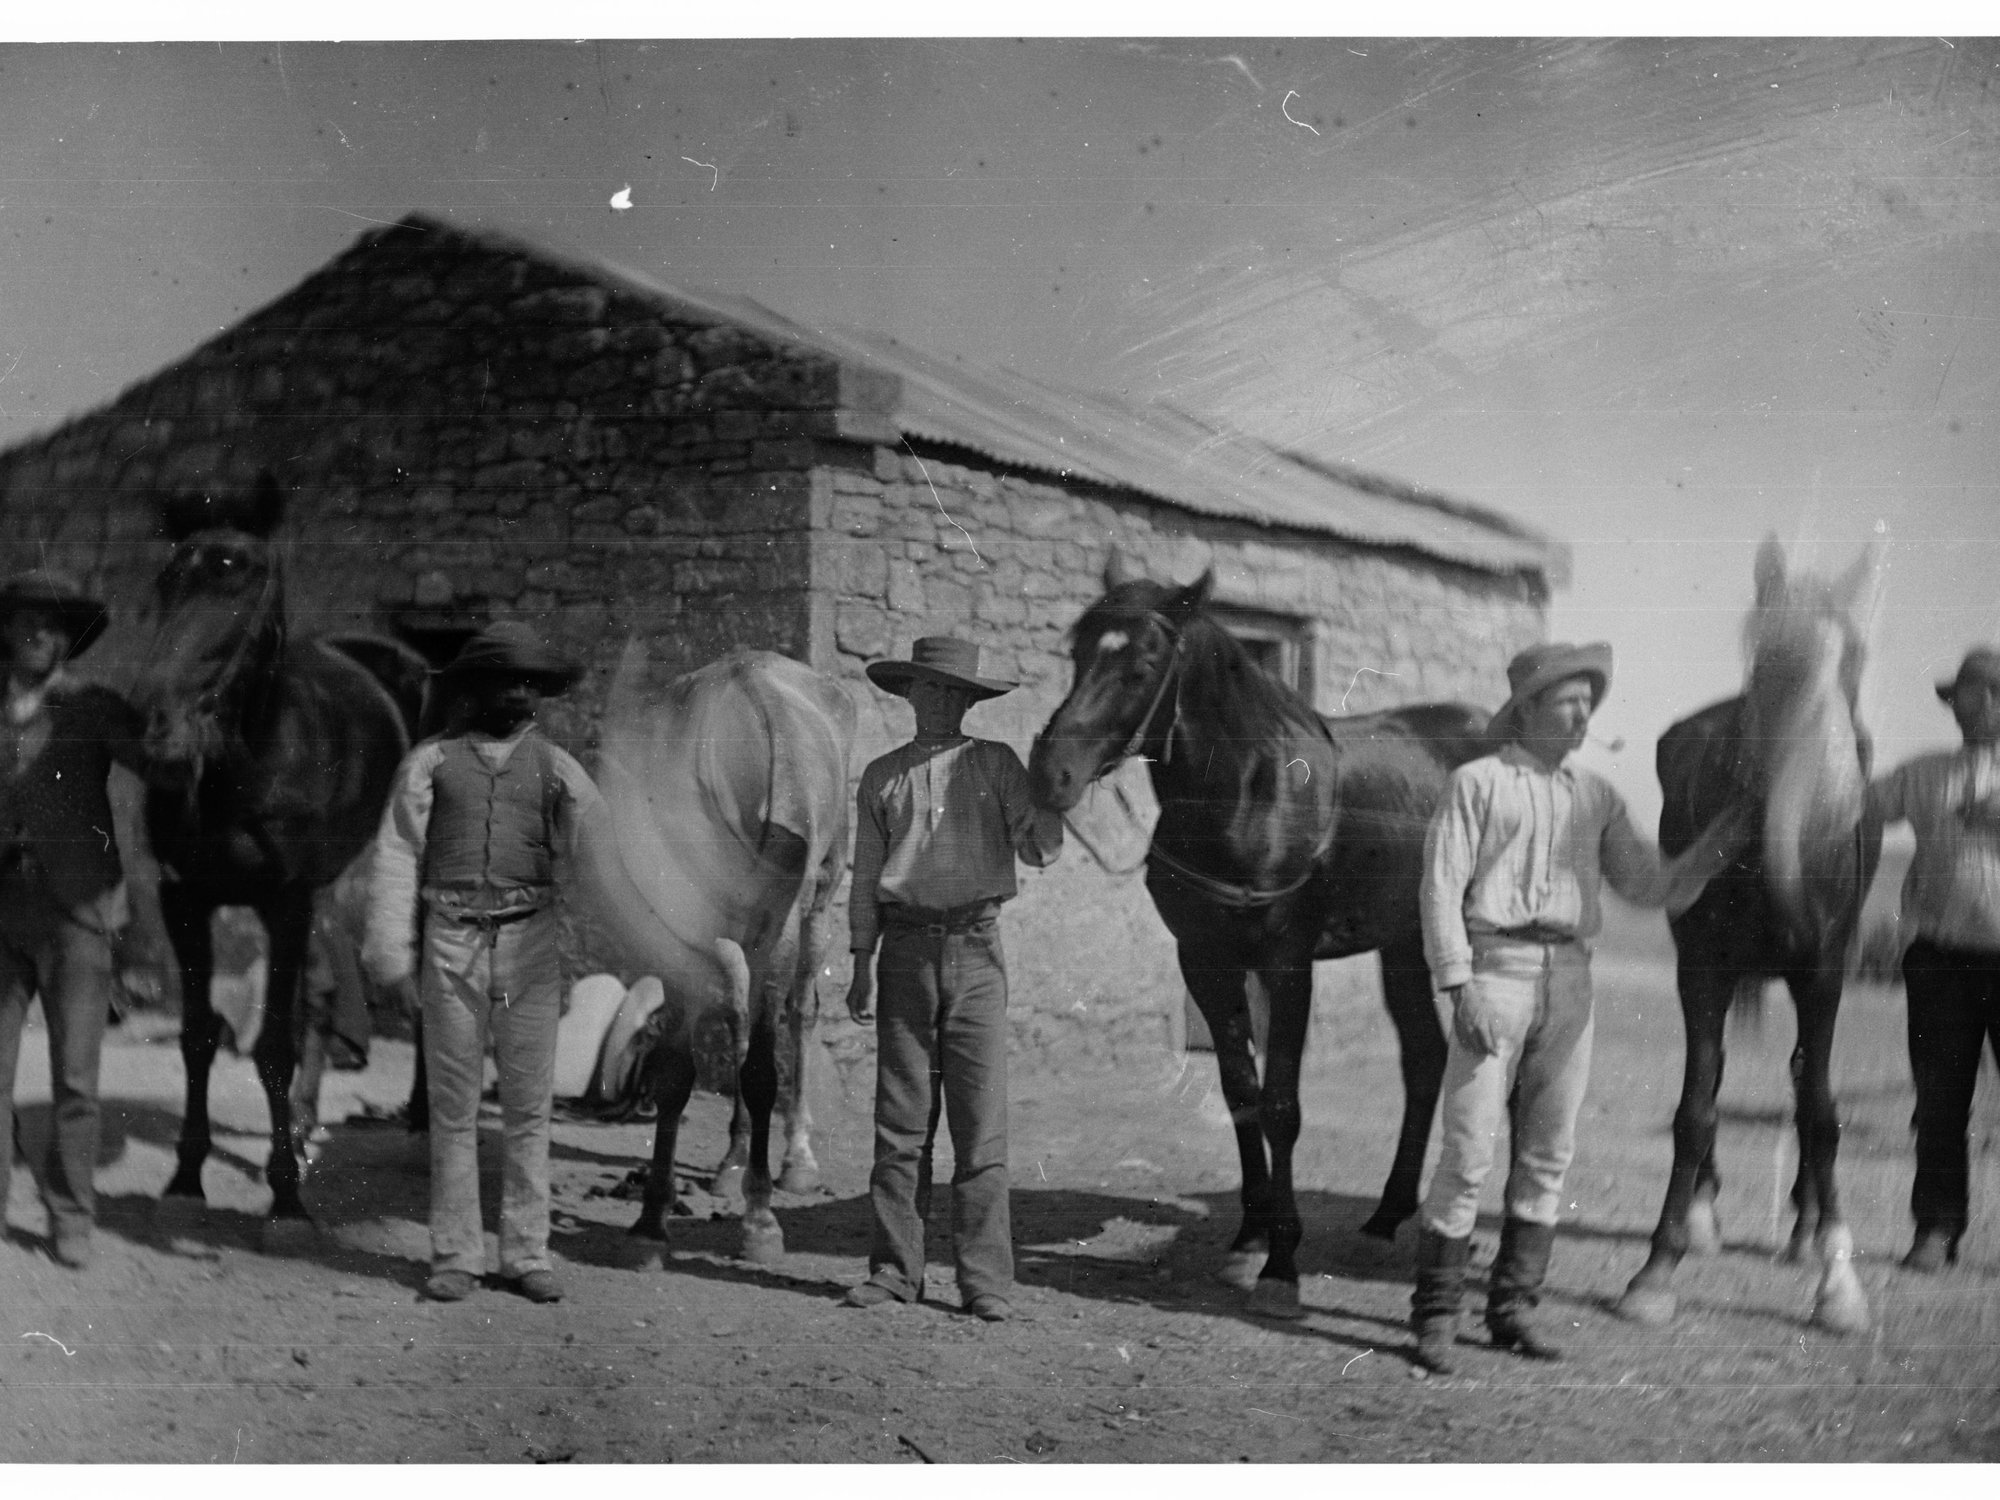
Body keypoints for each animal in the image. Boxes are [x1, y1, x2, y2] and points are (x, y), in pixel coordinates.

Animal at [129, 474, 427, 1245]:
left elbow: (270, 1047)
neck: (248, 764)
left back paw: (420, 1119)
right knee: (319, 997)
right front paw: (186, 1180)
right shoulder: (186, 898)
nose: (158, 726)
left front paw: (287, 1201)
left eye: (243, 573)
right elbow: (199, 1035)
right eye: (167, 579)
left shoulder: (283, 899)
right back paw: (301, 1121)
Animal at [575, 643, 855, 1265]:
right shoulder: (694, 936)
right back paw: (732, 1163)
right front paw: (651, 1219)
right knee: (741, 1019)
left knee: (798, 1014)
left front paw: (761, 1222)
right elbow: (678, 1071)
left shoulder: (777, 924)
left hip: (817, 903)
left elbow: (762, 1069)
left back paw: (795, 1162)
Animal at [1028, 562, 1492, 1317]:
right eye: (1078, 651)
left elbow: (1281, 1105)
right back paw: (1385, 1219)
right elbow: (1240, 1093)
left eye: (1143, 665)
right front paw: (1248, 1240)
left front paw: (1281, 1262)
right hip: (1406, 942)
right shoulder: (1203, 961)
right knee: (1425, 1059)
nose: (1050, 774)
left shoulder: (1287, 964)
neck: (1251, 796)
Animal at [1617, 537, 1882, 1334]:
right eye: (1762, 661)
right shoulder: (1701, 969)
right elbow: (1696, 1108)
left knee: (1801, 1082)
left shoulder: (1824, 973)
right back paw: (1705, 1218)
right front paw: (1657, 1267)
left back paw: (1804, 1233)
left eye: (1856, 663)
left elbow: (1821, 1111)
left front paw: (1839, 1282)